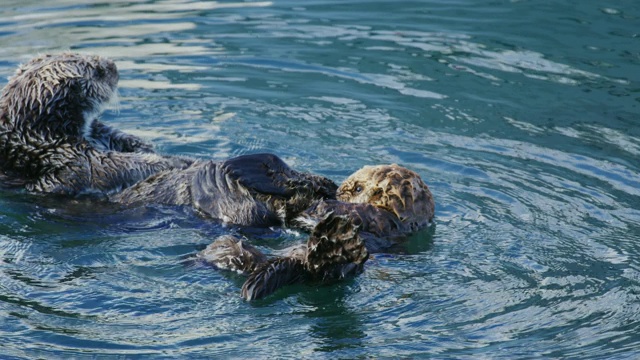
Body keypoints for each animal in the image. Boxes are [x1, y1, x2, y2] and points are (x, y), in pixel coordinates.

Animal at [0, 52, 191, 195]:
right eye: (99, 71)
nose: (114, 66)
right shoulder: (72, 156)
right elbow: (116, 166)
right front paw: (175, 161)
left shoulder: (100, 133)